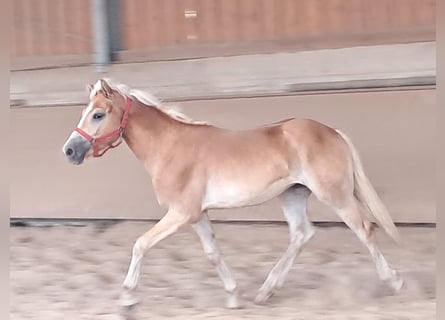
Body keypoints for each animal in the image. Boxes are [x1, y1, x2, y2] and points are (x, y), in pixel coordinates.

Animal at [63, 78, 402, 310]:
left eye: (97, 115)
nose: (69, 151)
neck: (169, 146)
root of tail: (332, 132)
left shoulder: (181, 212)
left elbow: (141, 244)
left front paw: (127, 298)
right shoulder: (197, 214)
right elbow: (213, 253)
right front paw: (234, 296)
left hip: (335, 195)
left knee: (364, 229)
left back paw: (395, 281)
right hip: (292, 195)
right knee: (301, 235)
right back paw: (266, 291)